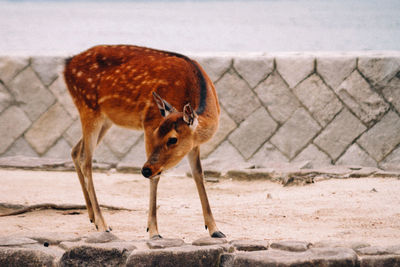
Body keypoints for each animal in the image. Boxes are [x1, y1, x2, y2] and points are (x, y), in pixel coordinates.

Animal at [62, 45, 225, 240]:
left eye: (173, 139)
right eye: (156, 133)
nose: (145, 170)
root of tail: (67, 65)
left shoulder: (193, 144)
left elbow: (198, 174)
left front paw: (215, 229)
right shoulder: (149, 121)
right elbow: (156, 178)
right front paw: (153, 231)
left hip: (105, 118)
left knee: (76, 151)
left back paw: (92, 218)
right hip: (88, 107)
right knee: (87, 160)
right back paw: (103, 224)